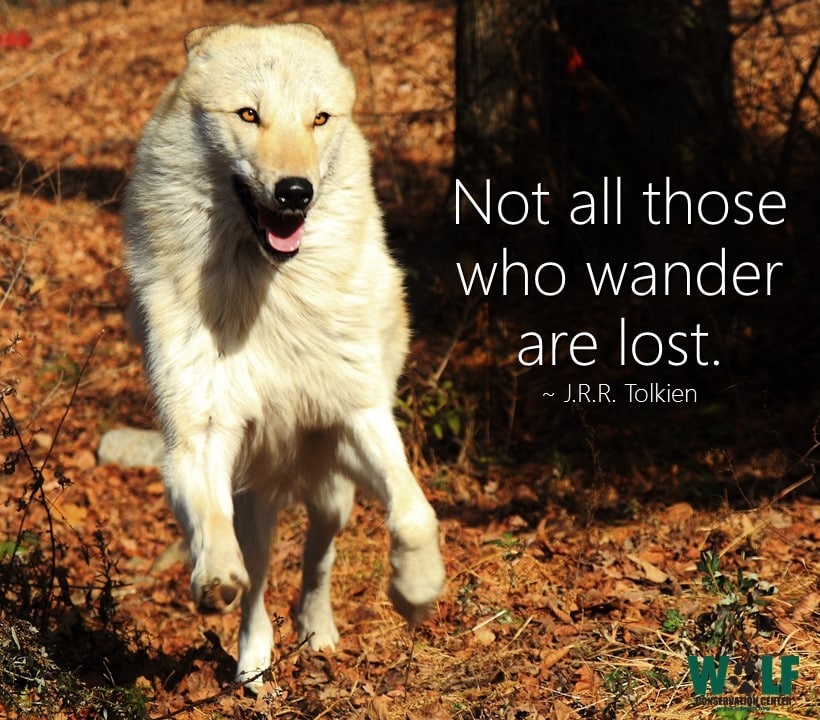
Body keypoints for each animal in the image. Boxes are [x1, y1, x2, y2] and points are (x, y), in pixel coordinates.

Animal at [122, 23, 445, 691]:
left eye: (319, 119)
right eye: (249, 114)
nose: (296, 192)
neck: (269, 296)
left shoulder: (361, 416)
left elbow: (414, 510)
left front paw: (418, 591)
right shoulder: (197, 435)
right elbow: (213, 532)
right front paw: (215, 576)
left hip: (333, 495)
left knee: (318, 558)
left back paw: (317, 633)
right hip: (258, 499)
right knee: (259, 580)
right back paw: (252, 662)